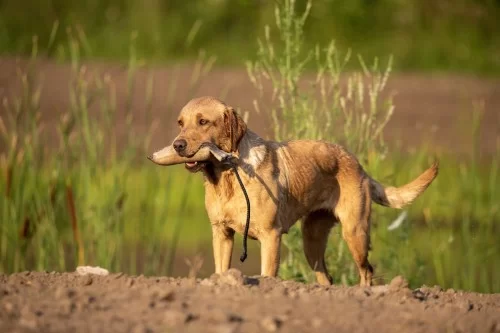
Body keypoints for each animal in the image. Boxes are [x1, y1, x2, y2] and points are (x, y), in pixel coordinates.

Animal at [151, 95, 438, 286]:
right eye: (180, 123)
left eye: (203, 121)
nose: (177, 145)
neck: (228, 176)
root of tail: (357, 163)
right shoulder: (221, 234)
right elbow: (221, 270)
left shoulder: (271, 237)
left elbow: (268, 274)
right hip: (312, 241)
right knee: (326, 276)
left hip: (355, 232)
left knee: (366, 270)